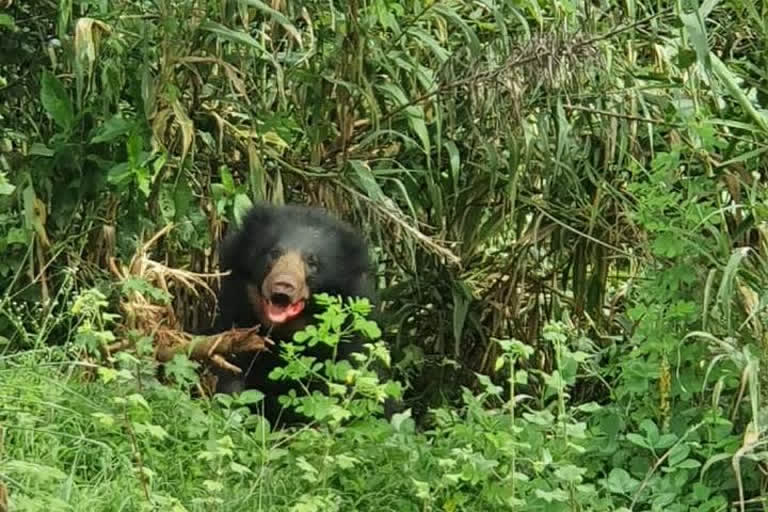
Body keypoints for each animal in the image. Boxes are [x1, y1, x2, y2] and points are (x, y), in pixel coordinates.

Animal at [210, 202, 378, 426]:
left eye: (312, 262)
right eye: (274, 253)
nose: (283, 285)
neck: (285, 330)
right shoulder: (237, 314)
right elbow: (232, 374)